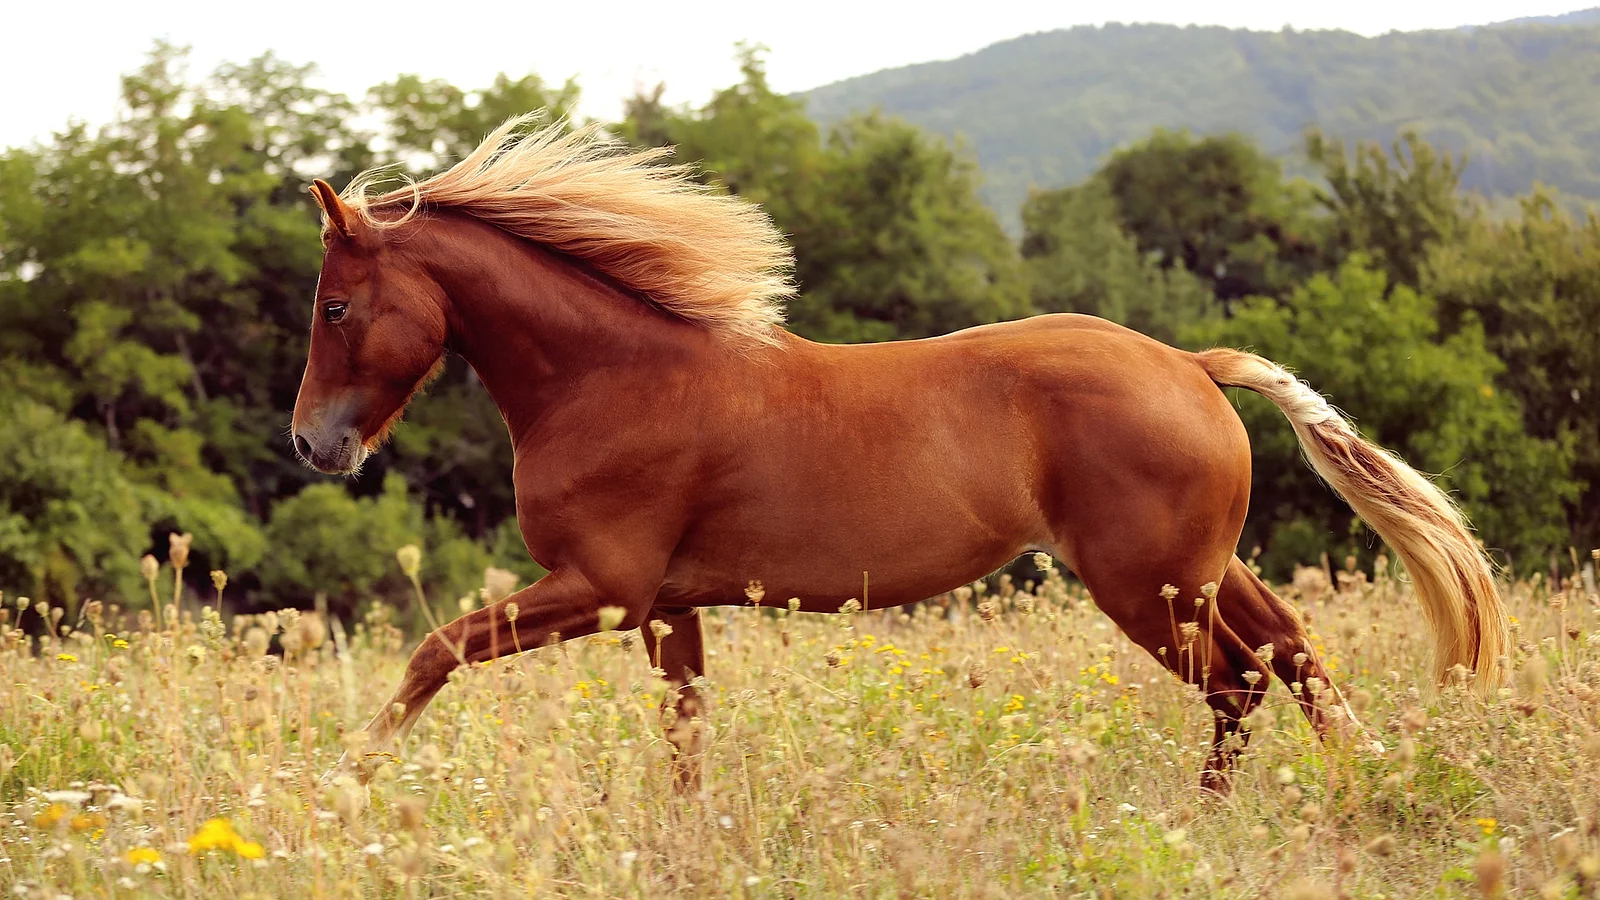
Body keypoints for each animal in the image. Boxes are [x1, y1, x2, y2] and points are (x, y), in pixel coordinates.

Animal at [292, 114, 1508, 793]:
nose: (313, 444)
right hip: (1201, 571)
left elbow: (433, 652)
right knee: (1293, 659)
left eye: (337, 306)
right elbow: (684, 741)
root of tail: (1191, 363)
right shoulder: (665, 607)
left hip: (1147, 586)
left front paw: (346, 783)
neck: (612, 379)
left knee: (1239, 687)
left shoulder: (599, 588)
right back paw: (1356, 789)